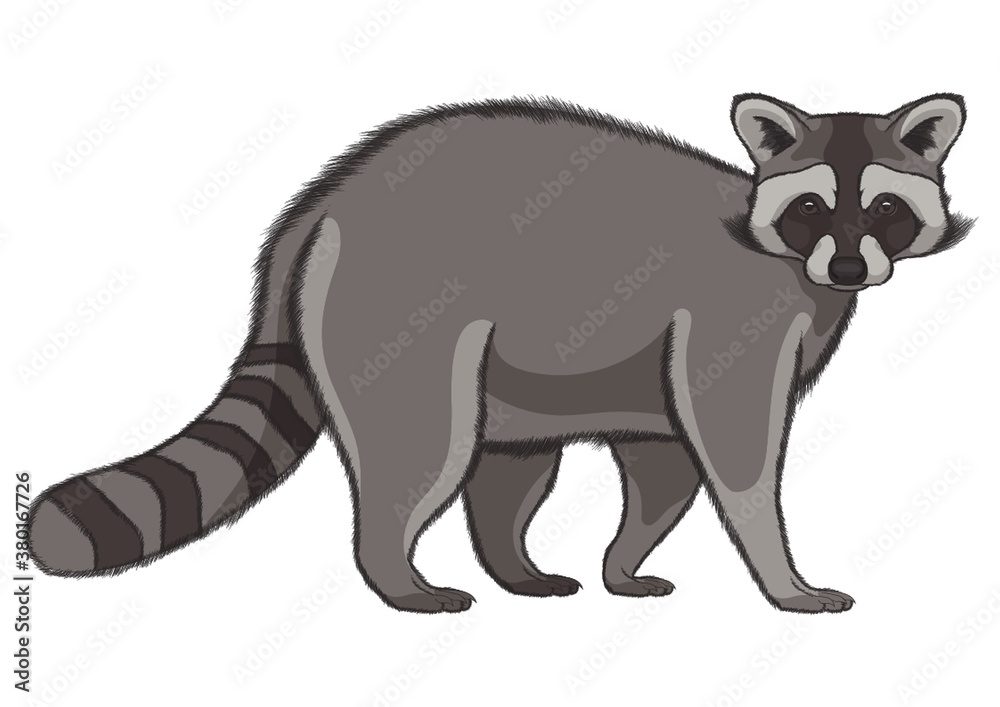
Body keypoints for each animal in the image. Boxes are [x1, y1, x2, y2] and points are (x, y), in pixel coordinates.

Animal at [28, 93, 972, 614]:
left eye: (883, 209)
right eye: (812, 210)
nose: (847, 268)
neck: (793, 259)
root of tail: (324, 198)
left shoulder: (675, 356)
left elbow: (661, 458)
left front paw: (624, 561)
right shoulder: (733, 315)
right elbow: (735, 454)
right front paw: (784, 577)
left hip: (511, 364)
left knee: (509, 464)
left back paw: (516, 566)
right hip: (399, 305)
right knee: (419, 447)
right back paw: (396, 573)